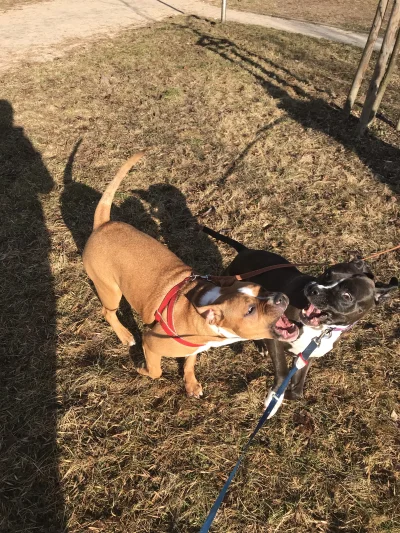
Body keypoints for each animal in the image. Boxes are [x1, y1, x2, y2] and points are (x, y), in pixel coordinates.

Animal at [83, 153, 298, 394]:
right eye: (250, 310)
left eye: (262, 288)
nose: (280, 297)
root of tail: (102, 225)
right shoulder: (151, 341)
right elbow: (156, 371)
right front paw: (142, 369)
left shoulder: (194, 349)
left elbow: (189, 362)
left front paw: (191, 384)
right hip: (110, 290)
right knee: (108, 312)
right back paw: (125, 335)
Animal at [202, 222, 398, 402]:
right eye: (328, 273)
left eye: (347, 296)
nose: (313, 289)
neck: (320, 330)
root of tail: (245, 251)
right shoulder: (275, 340)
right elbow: (282, 371)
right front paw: (275, 395)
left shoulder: (307, 354)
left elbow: (298, 383)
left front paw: (292, 395)